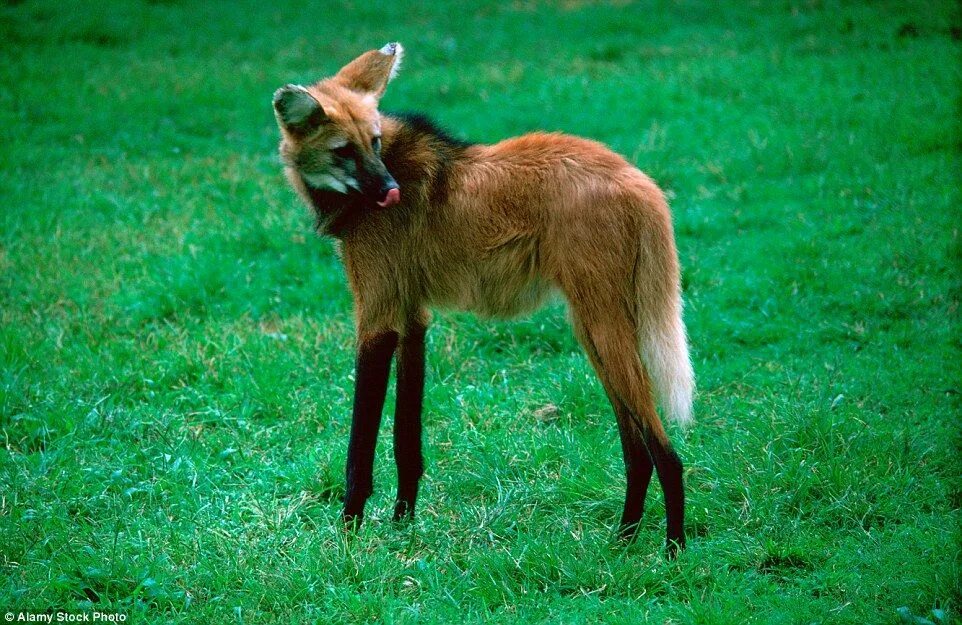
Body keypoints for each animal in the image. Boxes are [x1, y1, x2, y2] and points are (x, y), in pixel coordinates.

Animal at [270, 42, 688, 556]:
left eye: (374, 143)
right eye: (344, 150)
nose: (390, 191)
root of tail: (642, 183)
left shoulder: (377, 317)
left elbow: (360, 447)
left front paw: (348, 536)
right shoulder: (413, 316)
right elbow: (406, 438)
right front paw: (403, 525)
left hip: (602, 325)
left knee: (665, 452)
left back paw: (672, 549)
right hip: (593, 328)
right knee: (635, 447)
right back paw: (623, 539)